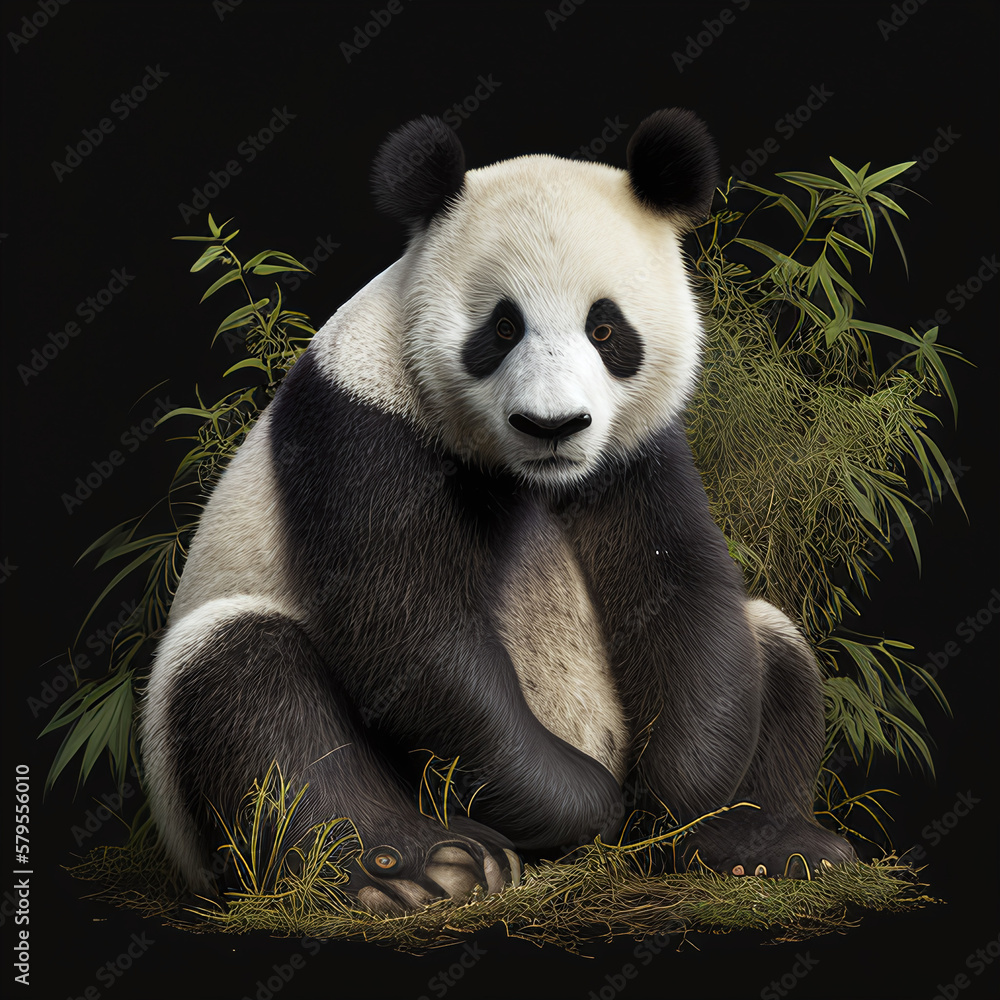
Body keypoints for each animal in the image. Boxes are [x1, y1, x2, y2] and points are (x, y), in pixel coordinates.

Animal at [141, 108, 856, 914]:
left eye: (605, 329)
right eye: (502, 327)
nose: (553, 426)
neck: (527, 475)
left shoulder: (638, 453)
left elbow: (682, 593)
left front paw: (677, 798)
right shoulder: (363, 426)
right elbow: (414, 634)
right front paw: (586, 802)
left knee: (774, 647)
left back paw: (764, 847)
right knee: (251, 687)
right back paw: (420, 870)